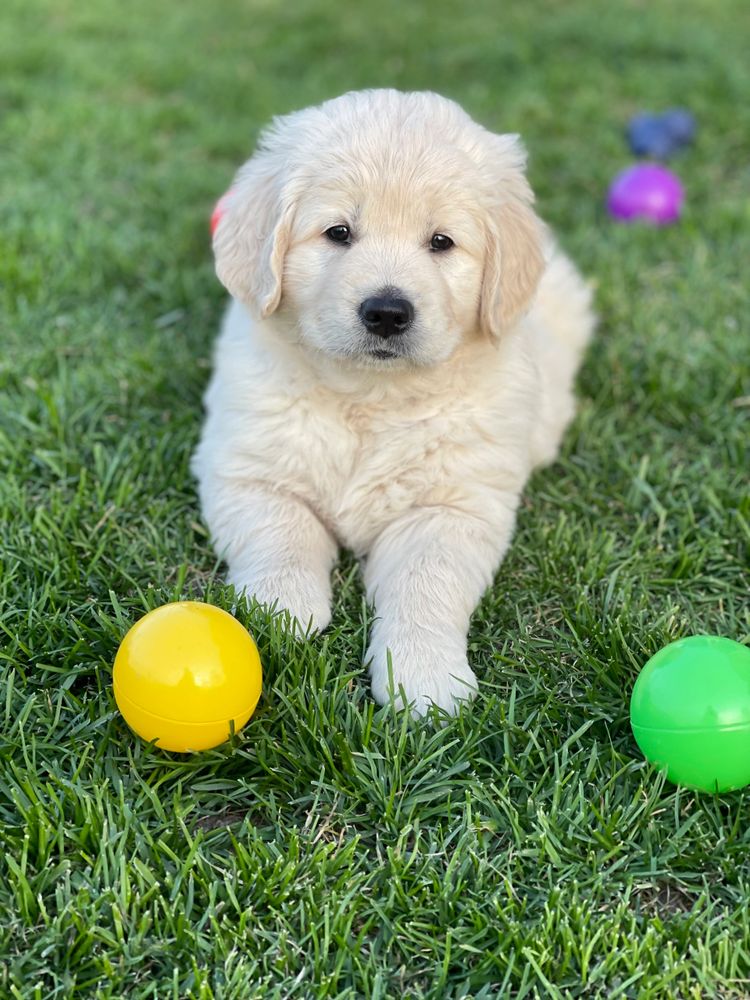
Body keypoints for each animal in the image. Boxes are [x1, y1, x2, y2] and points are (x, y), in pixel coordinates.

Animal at [195, 90, 600, 720]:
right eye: (338, 232)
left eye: (441, 242)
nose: (387, 312)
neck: (369, 397)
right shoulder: (246, 470)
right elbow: (281, 534)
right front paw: (281, 612)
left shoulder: (451, 507)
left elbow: (426, 584)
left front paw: (424, 676)